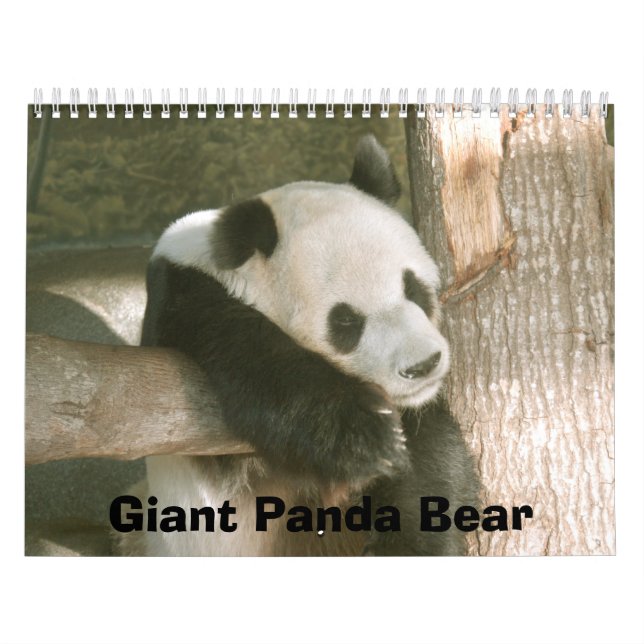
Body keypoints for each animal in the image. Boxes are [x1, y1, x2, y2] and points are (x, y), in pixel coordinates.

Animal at [121, 135, 479, 556]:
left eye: (413, 288)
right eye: (346, 321)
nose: (422, 365)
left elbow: (429, 451)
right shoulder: (191, 304)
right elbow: (263, 366)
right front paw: (368, 437)